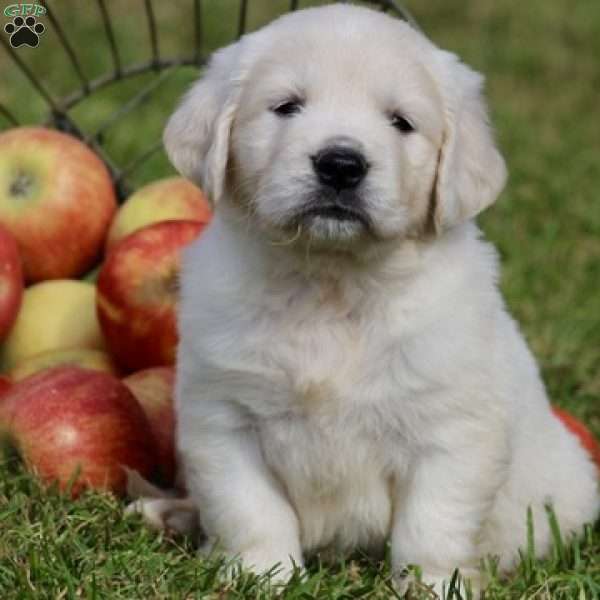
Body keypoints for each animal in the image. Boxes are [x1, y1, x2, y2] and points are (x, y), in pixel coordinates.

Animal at [152, 3, 596, 596]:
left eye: (400, 122)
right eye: (287, 106)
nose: (341, 164)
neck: (332, 281)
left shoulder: (452, 428)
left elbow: (432, 521)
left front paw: (434, 585)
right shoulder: (223, 416)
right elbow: (250, 507)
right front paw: (262, 575)